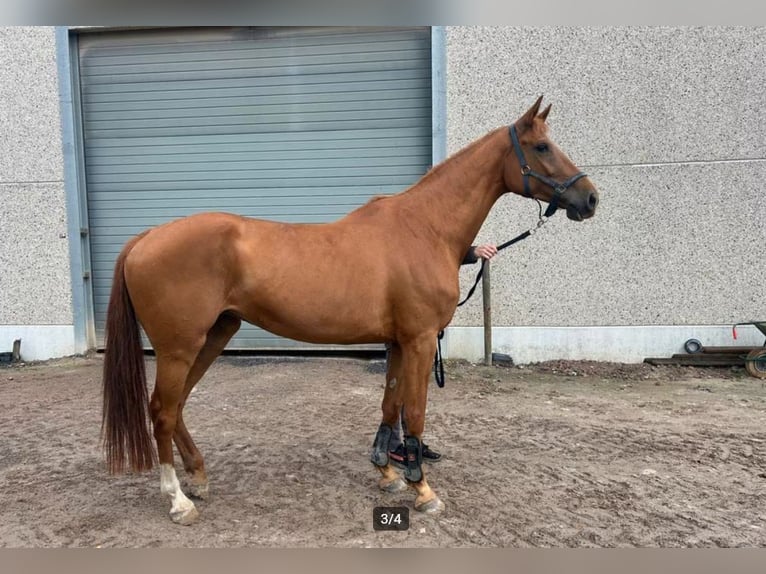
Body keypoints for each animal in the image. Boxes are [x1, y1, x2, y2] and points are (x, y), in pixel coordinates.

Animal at [101, 96, 599, 525]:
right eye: (542, 147)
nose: (590, 198)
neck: (424, 228)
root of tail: (147, 236)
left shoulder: (398, 342)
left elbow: (390, 405)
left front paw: (387, 472)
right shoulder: (420, 341)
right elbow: (414, 413)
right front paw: (423, 490)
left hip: (214, 335)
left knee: (178, 406)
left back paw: (199, 478)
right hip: (179, 347)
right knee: (162, 411)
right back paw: (178, 500)